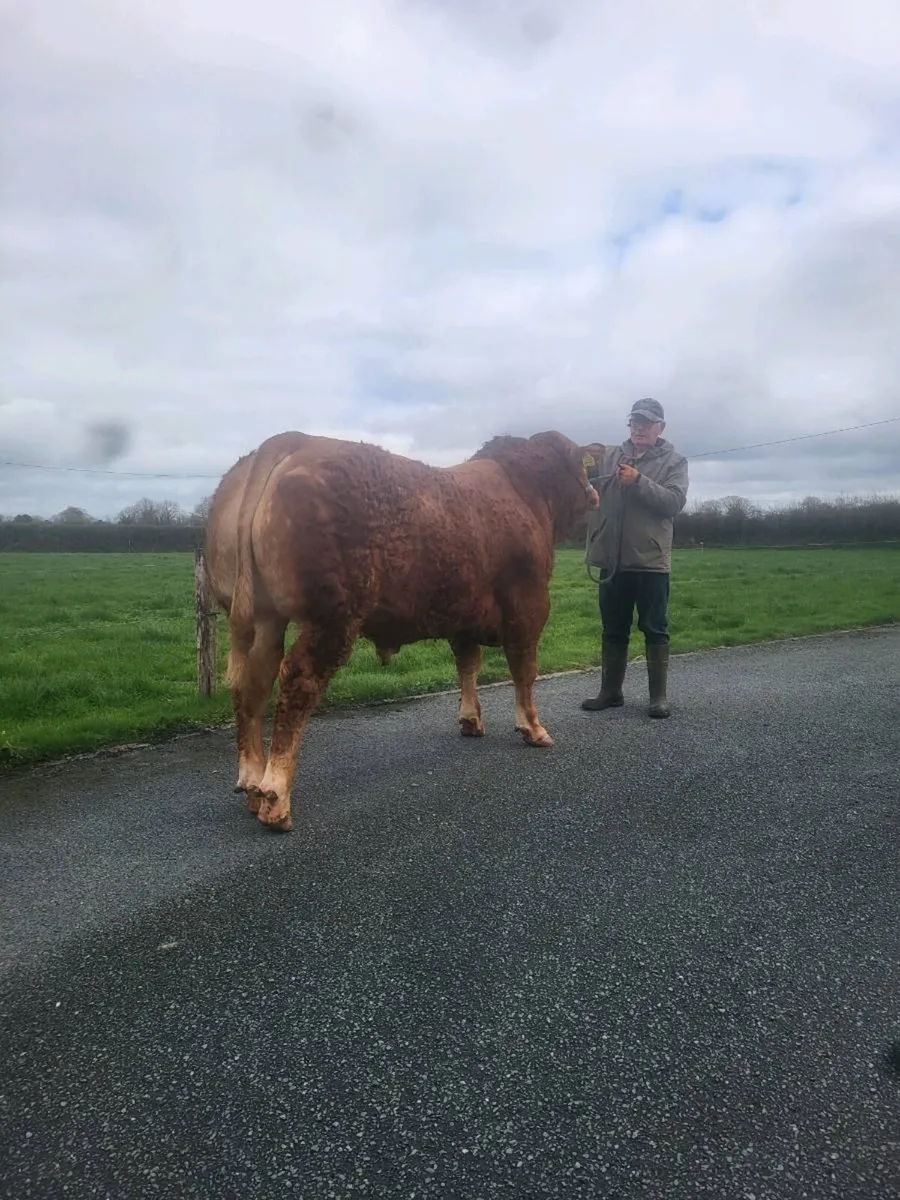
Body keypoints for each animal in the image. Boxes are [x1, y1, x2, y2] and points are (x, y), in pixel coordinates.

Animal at [204, 429, 602, 832]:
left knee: (252, 685)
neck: (527, 491)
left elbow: (468, 665)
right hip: (332, 617)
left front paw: (470, 720)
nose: (595, 494)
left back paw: (252, 784)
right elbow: (524, 670)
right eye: (580, 465)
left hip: (264, 619)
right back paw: (275, 798)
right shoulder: (529, 605)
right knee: (298, 682)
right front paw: (533, 729)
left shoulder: (464, 616)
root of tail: (292, 440)